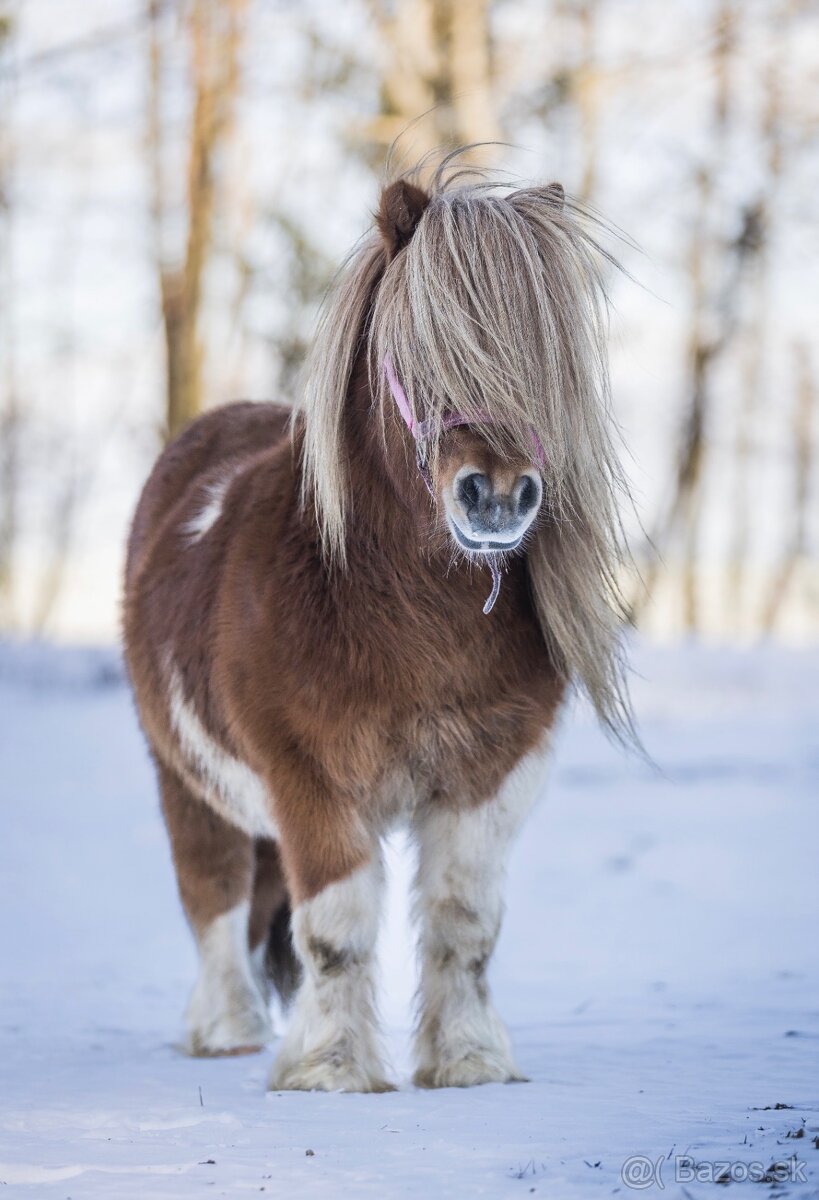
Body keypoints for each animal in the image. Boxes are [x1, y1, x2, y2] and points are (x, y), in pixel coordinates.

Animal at [123, 158, 633, 1093]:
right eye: (416, 351)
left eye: (541, 359)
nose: (497, 496)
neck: (398, 616)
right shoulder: (309, 783)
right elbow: (335, 929)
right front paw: (330, 1070)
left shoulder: (486, 779)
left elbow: (464, 922)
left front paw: (468, 1062)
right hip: (187, 782)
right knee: (213, 900)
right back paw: (227, 1030)